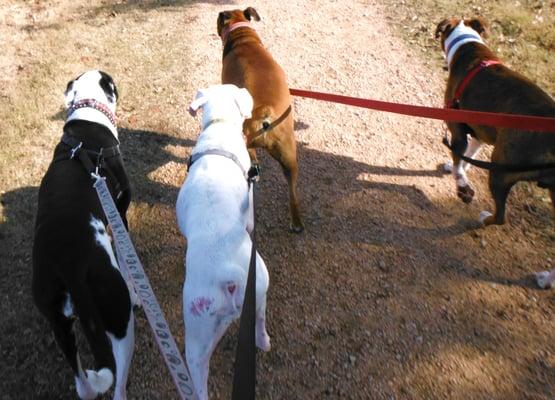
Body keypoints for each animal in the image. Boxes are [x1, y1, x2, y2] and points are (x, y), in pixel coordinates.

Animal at [33, 70, 136, 398]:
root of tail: (69, 264)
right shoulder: (120, 212)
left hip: (59, 325)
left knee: (83, 384)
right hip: (119, 317)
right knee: (118, 384)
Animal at [177, 84, 272, 400]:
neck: (219, 126)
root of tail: (226, 277)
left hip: (199, 335)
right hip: (260, 283)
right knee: (260, 322)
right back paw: (263, 341)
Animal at [217, 6, 304, 233]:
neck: (243, 38)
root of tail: (266, 113)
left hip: (247, 141)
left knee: (252, 156)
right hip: (289, 157)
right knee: (293, 193)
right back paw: (296, 223)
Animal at [436, 18, 552, 288]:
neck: (469, 45)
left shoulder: (456, 127)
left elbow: (459, 160)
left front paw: (462, 186)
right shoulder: (479, 131)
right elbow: (466, 155)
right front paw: (453, 167)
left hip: (500, 169)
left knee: (501, 216)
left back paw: (484, 217)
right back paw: (545, 279)